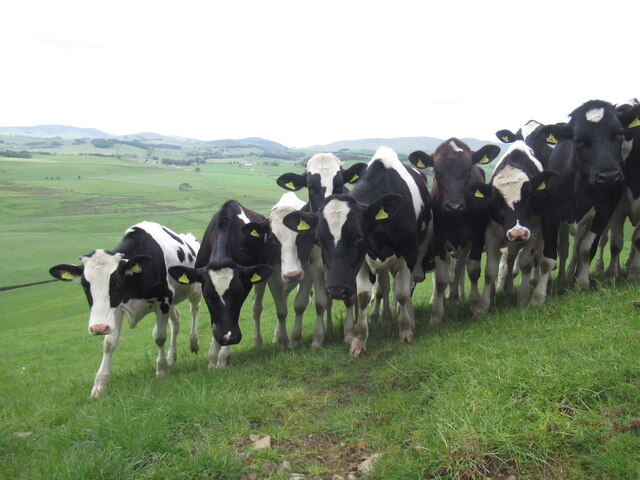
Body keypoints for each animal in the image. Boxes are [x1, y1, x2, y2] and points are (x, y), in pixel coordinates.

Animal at [48, 221, 201, 398]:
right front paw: (100, 386)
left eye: (118, 282)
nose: (98, 327)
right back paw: (171, 356)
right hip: (173, 301)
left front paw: (161, 370)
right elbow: (109, 343)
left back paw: (193, 342)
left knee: (194, 311)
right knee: (176, 323)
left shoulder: (163, 301)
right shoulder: (117, 308)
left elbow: (159, 337)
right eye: (84, 285)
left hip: (194, 291)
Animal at [284, 146, 430, 356]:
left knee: (404, 287)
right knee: (384, 287)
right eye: (319, 239)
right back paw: (386, 322)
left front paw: (405, 330)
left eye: (359, 236)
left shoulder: (408, 254)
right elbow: (363, 297)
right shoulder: (361, 261)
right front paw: (358, 341)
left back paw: (409, 318)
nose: (336, 289)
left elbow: (402, 293)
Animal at [410, 139, 500, 326]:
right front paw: (437, 315)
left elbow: (473, 271)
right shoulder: (438, 241)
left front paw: (475, 305)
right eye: (437, 171)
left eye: (468, 169)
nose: (454, 205)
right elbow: (441, 279)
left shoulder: (477, 237)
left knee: (460, 269)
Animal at [468, 141, 556, 308]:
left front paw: (523, 297)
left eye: (528, 197)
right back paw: (506, 288)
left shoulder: (534, 230)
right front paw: (483, 305)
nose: (517, 233)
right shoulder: (491, 233)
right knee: (510, 257)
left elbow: (526, 263)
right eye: (497, 203)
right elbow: (490, 270)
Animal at [536, 99, 624, 290]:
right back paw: (562, 280)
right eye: (578, 140)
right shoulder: (550, 213)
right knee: (564, 249)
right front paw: (539, 293)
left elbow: (586, 248)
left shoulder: (604, 211)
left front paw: (582, 283)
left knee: (578, 247)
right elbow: (549, 257)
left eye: (619, 134)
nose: (608, 176)